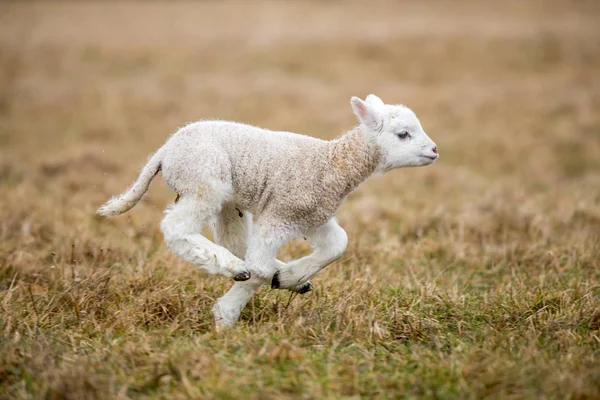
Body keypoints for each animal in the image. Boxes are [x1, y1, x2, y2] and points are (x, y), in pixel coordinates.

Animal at [97, 95, 436, 330]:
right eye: (403, 134)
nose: (435, 151)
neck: (331, 165)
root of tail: (164, 152)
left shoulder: (313, 216)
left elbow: (338, 245)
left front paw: (289, 276)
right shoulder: (280, 215)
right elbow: (258, 269)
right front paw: (225, 316)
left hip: (228, 202)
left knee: (233, 241)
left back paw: (279, 274)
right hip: (203, 184)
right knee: (177, 229)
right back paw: (235, 268)